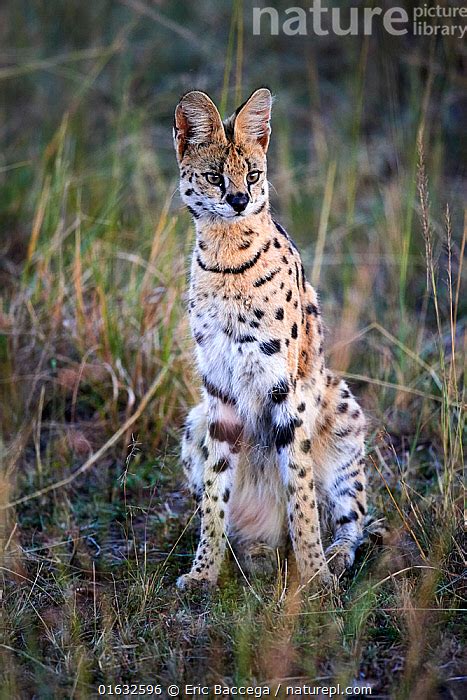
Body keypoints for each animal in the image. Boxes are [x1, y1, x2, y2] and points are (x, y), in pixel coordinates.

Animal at [174, 87, 368, 592]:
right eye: (214, 176)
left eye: (254, 174)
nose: (241, 200)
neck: (227, 258)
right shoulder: (218, 391)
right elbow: (214, 495)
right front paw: (203, 572)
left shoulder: (286, 389)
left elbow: (300, 492)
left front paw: (316, 575)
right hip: (194, 420)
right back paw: (256, 553)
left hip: (343, 406)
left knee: (352, 517)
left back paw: (334, 557)